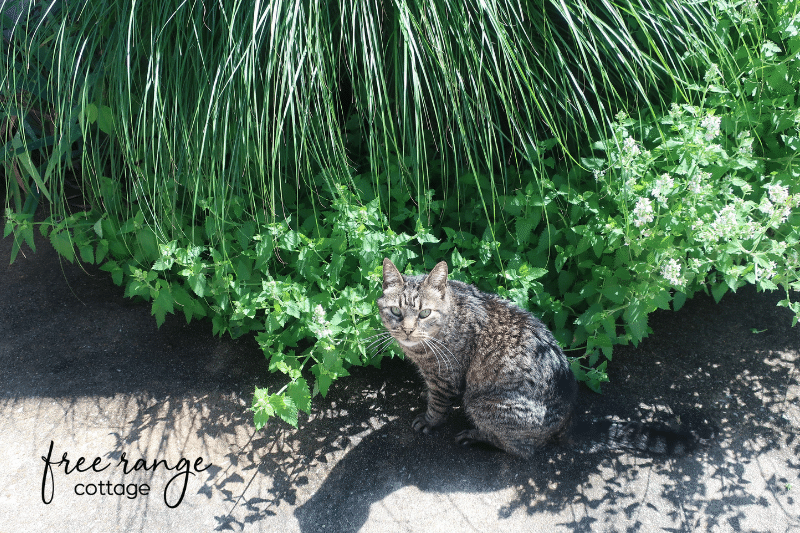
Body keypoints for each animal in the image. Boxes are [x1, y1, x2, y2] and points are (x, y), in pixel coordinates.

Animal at [376, 258, 708, 458]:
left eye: (424, 313)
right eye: (395, 311)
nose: (407, 329)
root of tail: (568, 421)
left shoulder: (445, 377)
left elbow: (438, 404)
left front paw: (430, 420)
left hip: (482, 402)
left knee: (520, 449)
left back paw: (477, 436)